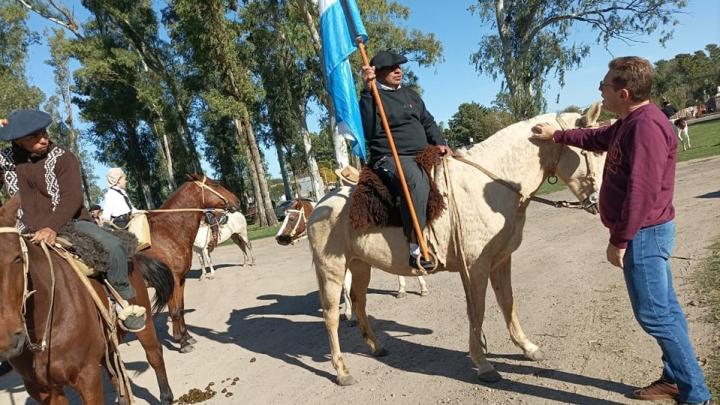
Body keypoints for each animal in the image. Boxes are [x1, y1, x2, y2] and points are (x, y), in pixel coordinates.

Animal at [0, 195, 176, 400]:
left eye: (17, 257)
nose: (6, 340)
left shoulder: (88, 376)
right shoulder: (42, 390)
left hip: (144, 322)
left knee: (154, 354)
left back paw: (166, 396)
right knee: (118, 379)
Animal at [142, 174, 240, 354]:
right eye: (216, 184)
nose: (237, 201)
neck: (168, 233)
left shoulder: (181, 279)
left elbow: (180, 308)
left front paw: (186, 336)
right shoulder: (171, 281)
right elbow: (174, 311)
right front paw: (181, 342)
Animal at [306, 102, 608, 384]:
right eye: (592, 151)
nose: (601, 204)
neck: (489, 186)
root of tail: (320, 204)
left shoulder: (500, 260)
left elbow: (507, 302)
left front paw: (528, 348)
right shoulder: (475, 267)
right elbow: (478, 311)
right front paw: (483, 364)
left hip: (359, 265)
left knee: (359, 302)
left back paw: (376, 347)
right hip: (332, 270)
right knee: (331, 315)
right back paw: (342, 370)